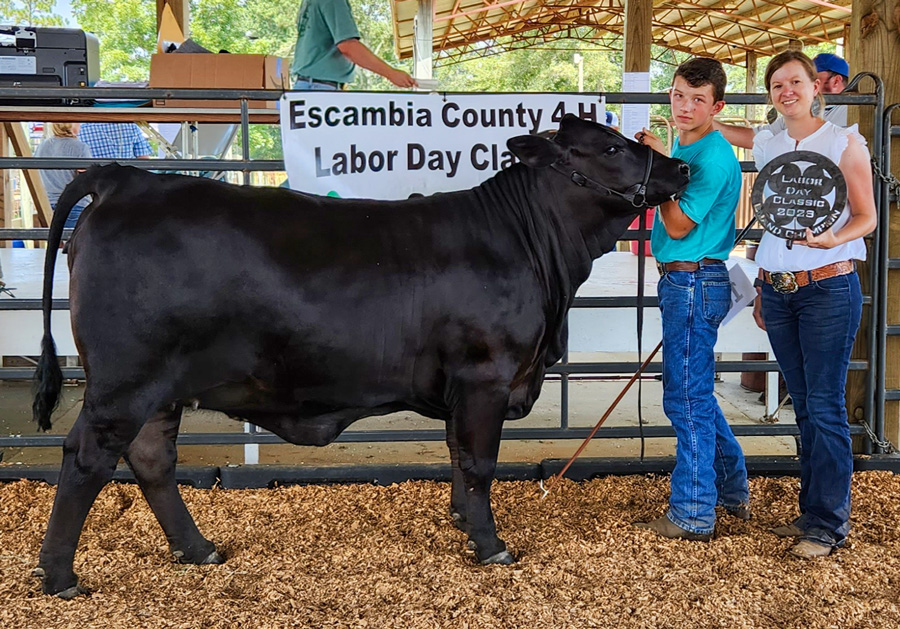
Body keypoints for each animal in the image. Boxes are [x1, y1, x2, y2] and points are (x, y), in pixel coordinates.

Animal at [31, 114, 689, 597]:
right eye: (609, 147)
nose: (682, 165)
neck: (534, 251)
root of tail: (125, 179)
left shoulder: (461, 387)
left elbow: (457, 453)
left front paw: (460, 521)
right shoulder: (486, 375)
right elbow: (480, 462)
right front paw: (490, 545)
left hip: (161, 388)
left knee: (152, 460)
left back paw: (199, 550)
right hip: (125, 381)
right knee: (87, 458)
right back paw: (60, 576)